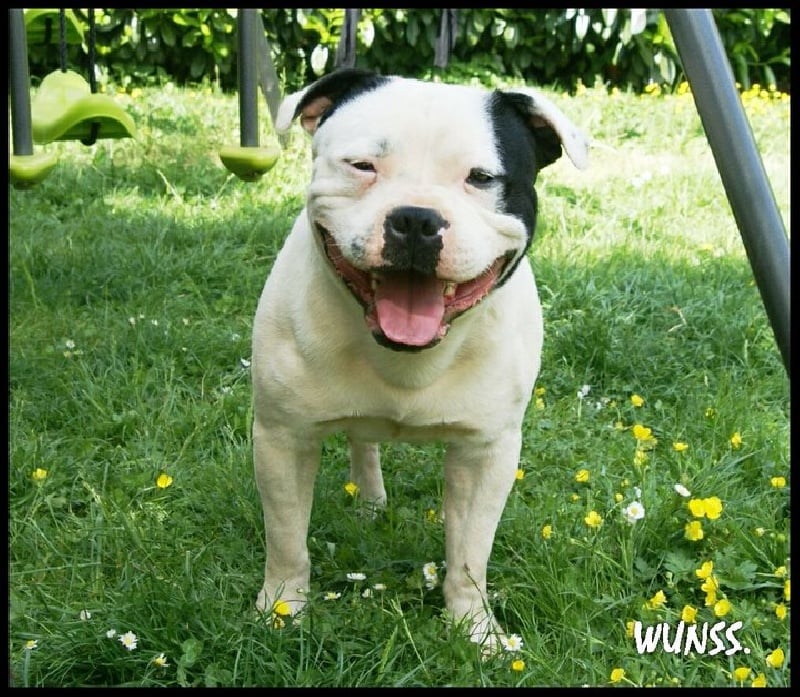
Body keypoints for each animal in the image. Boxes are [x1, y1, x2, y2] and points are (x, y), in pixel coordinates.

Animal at [251, 68, 589, 648]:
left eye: (482, 177)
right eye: (362, 166)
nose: (415, 218)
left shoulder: (486, 453)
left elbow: (471, 554)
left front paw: (474, 629)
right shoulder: (282, 438)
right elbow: (287, 537)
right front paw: (282, 609)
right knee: (362, 443)